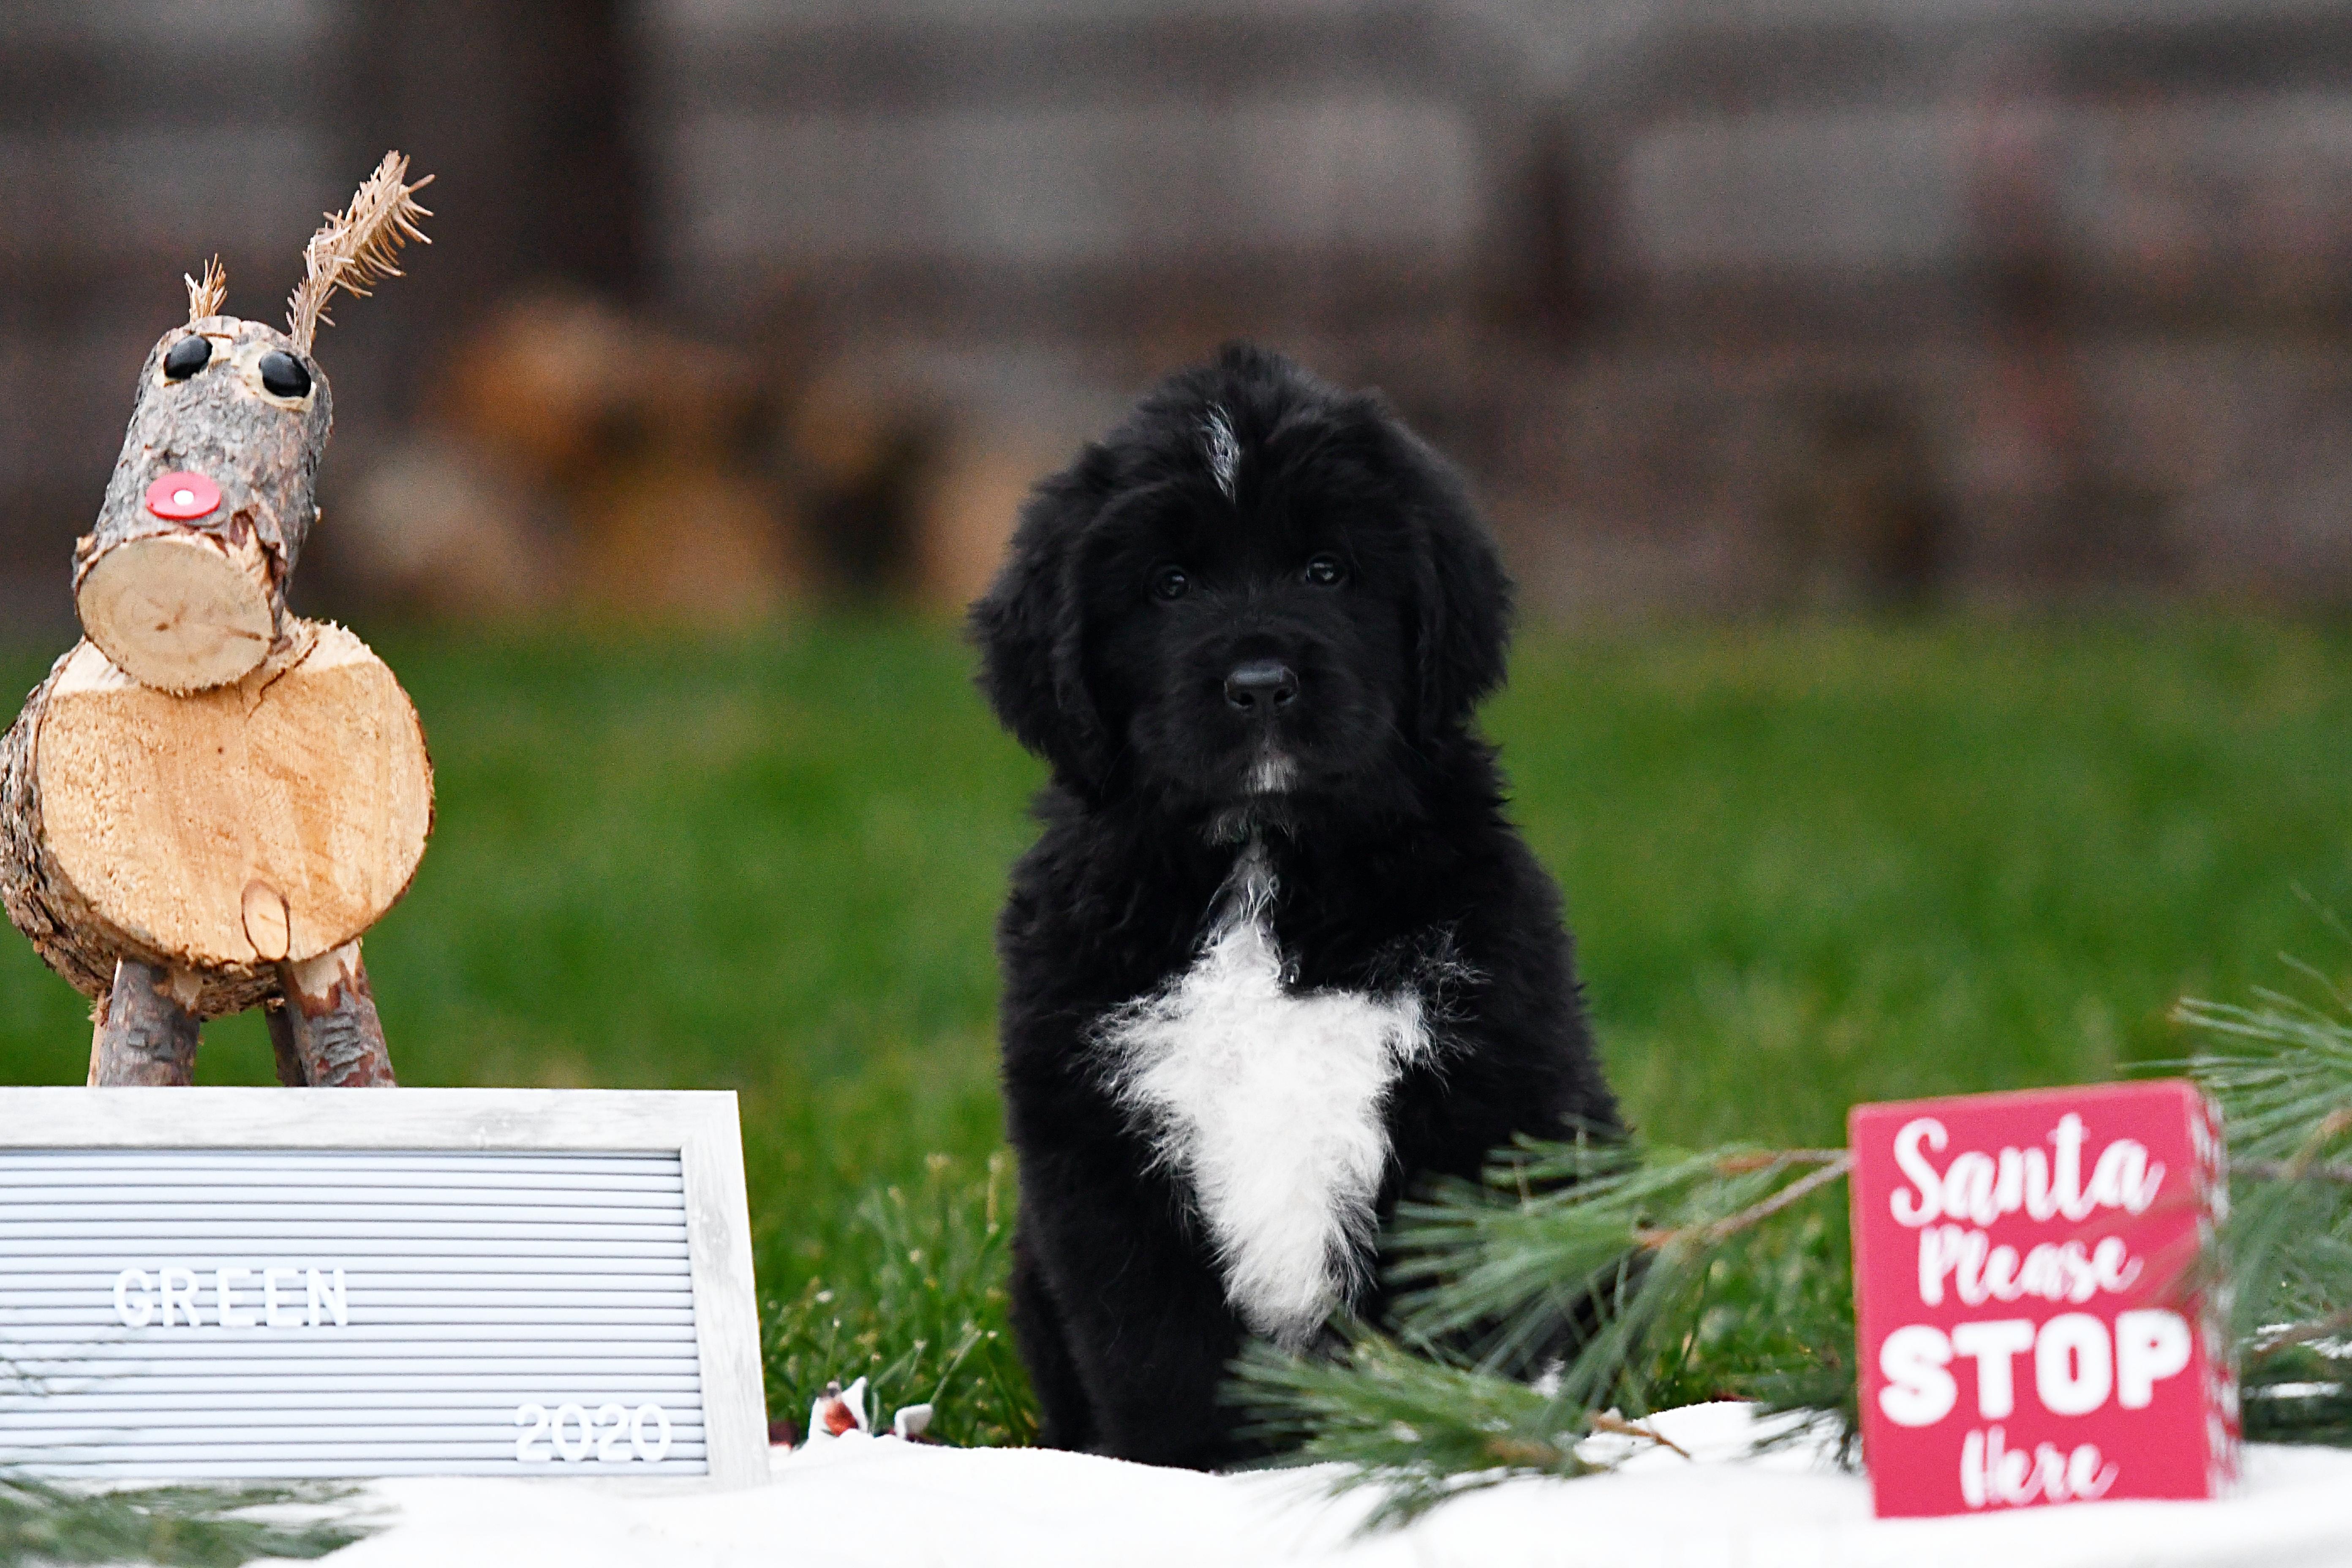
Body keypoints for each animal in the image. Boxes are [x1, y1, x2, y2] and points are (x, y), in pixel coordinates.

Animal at [970, 344, 1620, 1469]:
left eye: (1328, 571)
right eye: (1170, 585)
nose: (1261, 681)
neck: (1264, 867)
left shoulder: (1475, 1104)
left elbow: (1445, 1319)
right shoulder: (1100, 1152)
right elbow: (1159, 1352)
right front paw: (1192, 1475)